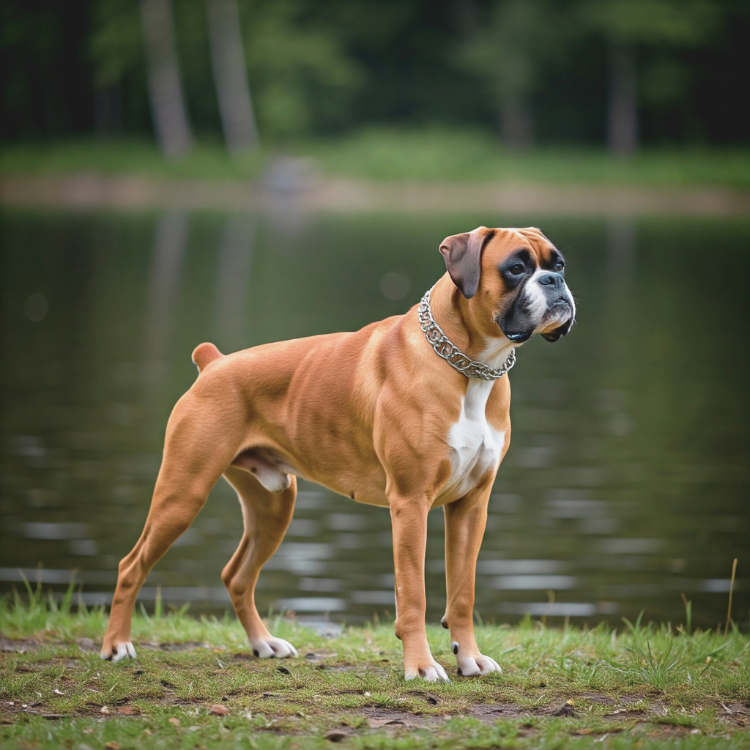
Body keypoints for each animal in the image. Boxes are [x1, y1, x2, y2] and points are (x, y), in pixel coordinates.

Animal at [101, 226, 576, 684]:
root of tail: (214, 362)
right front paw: (421, 667)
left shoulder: (471, 505)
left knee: (237, 576)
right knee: (131, 565)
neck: (471, 366)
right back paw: (117, 646)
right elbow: (413, 595)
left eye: (558, 265)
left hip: (273, 506)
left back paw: (263, 644)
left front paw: (470, 659)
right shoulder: (411, 503)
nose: (555, 282)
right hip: (183, 494)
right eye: (516, 268)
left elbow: (463, 592)